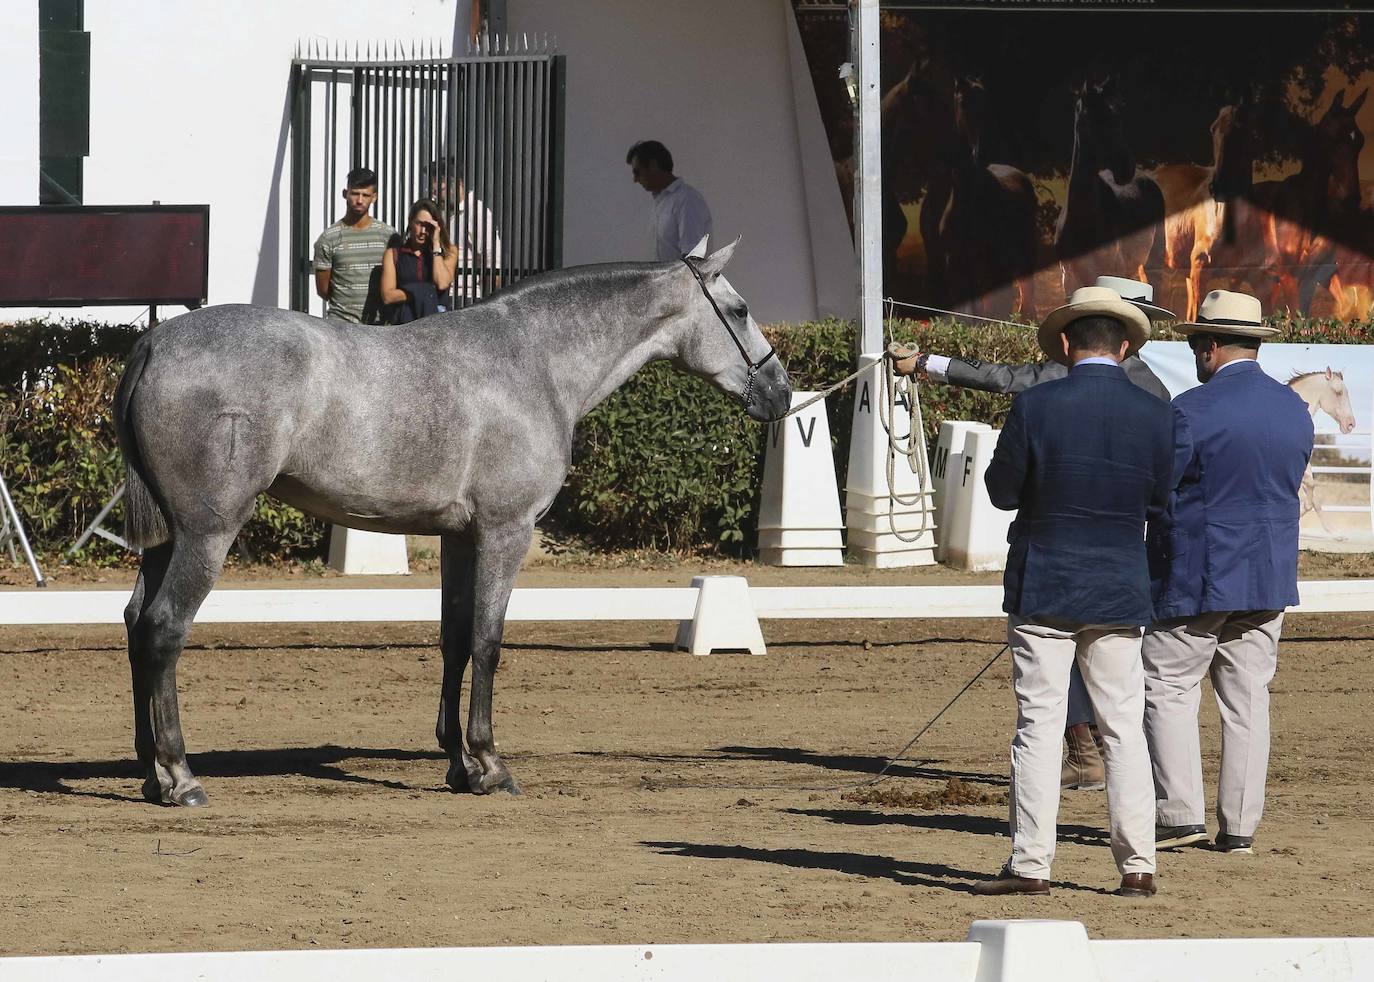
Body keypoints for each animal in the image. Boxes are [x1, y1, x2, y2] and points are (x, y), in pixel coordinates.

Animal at [112, 240, 791, 807]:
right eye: (739, 308)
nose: (782, 392)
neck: (532, 359)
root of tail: (156, 343)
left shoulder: (460, 539)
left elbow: (456, 641)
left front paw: (459, 765)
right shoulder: (506, 532)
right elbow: (489, 642)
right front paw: (491, 764)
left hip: (168, 538)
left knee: (138, 624)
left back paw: (151, 771)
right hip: (208, 532)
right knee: (165, 628)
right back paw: (181, 776)